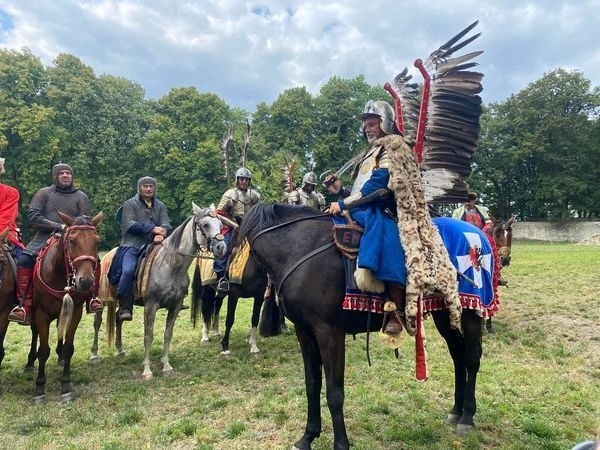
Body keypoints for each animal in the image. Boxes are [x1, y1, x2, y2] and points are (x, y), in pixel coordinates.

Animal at [30, 212, 103, 404]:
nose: (86, 281)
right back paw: (29, 362)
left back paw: (60, 356)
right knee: (34, 333)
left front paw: (65, 386)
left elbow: (69, 347)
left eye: (97, 242)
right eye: (72, 240)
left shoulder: (75, 312)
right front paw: (39, 389)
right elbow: (43, 351)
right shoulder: (41, 314)